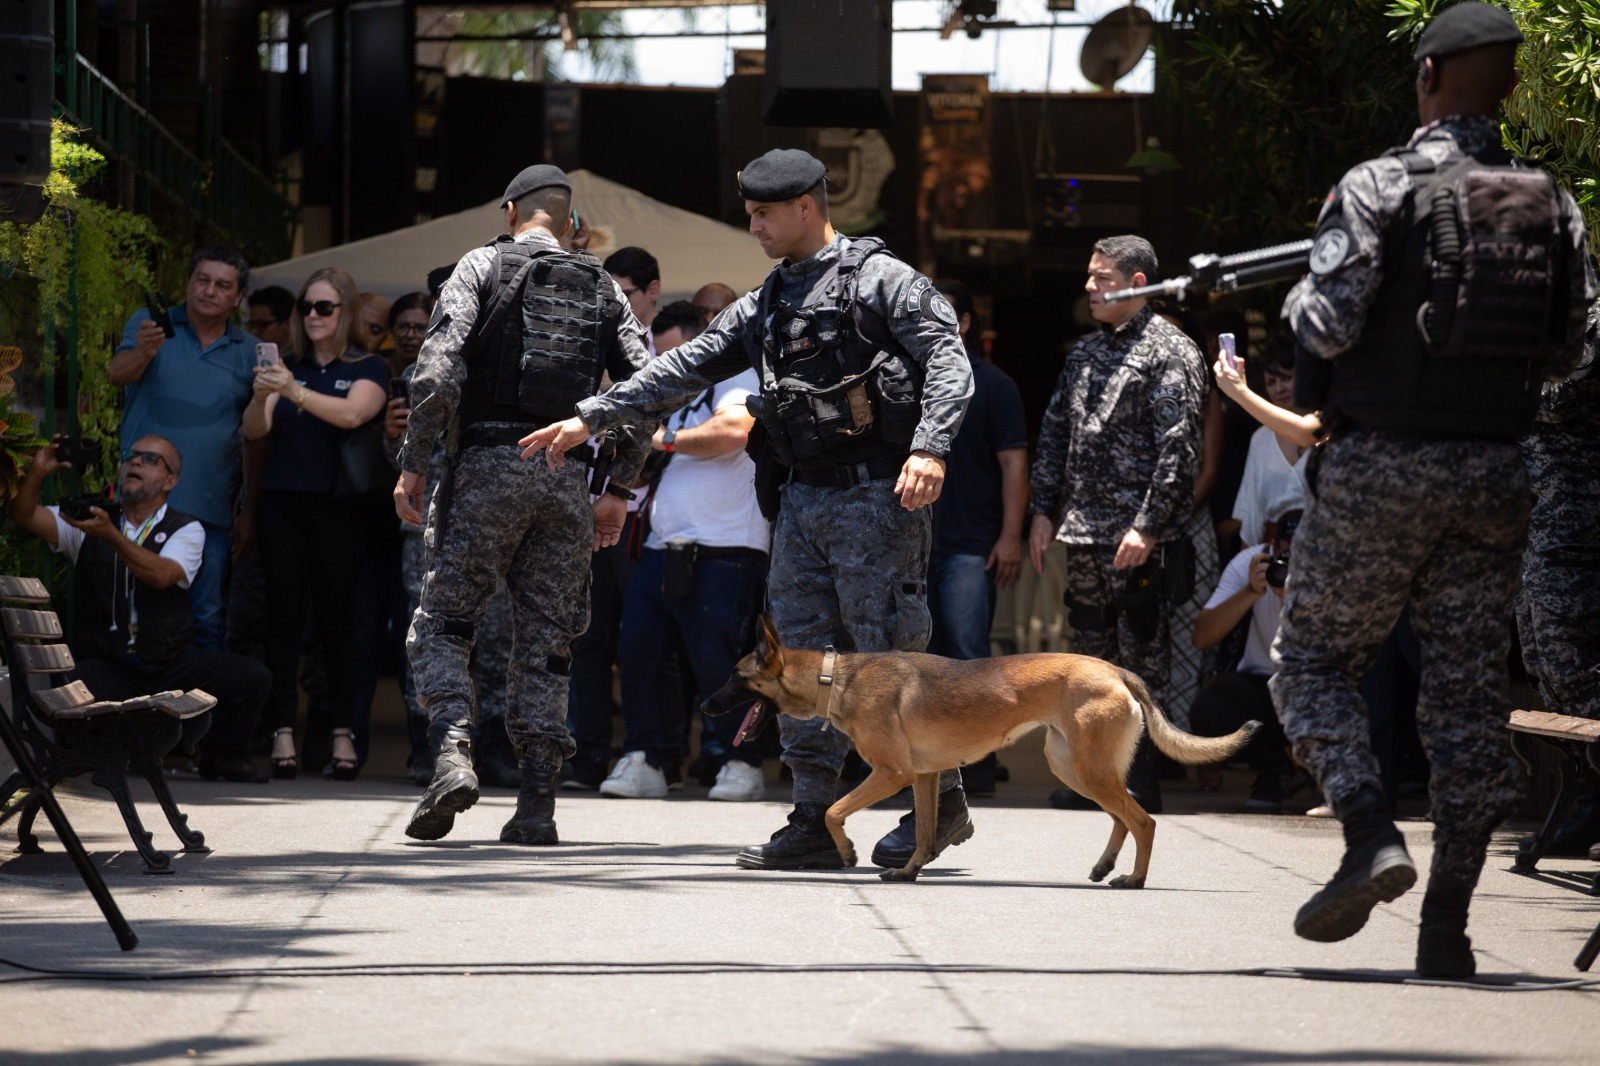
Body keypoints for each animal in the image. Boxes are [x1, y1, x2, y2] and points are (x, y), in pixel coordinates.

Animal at [704, 614, 1260, 877]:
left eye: (735, 677)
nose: (705, 706)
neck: (834, 677)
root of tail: (1115, 669)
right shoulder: (924, 777)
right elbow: (923, 833)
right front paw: (908, 873)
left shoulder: (892, 774)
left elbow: (832, 811)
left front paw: (845, 852)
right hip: (1075, 769)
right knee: (1123, 819)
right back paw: (1106, 868)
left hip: (1089, 770)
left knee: (1142, 821)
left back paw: (1132, 881)